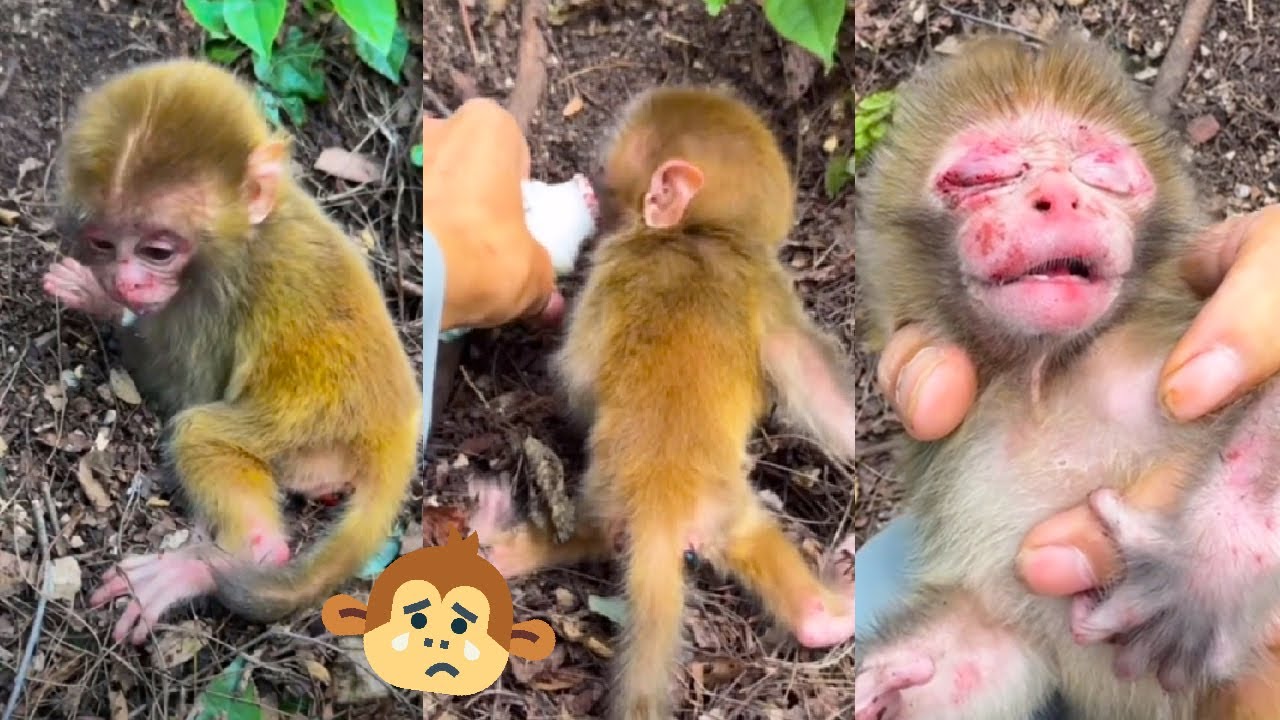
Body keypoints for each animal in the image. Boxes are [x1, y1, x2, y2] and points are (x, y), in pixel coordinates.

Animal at [40, 59, 422, 646]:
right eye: (105, 243)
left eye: (157, 251)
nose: (127, 282)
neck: (251, 232)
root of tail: (395, 426)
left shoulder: (210, 300)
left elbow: (182, 389)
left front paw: (102, 302)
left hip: (305, 426)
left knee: (199, 431)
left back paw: (225, 560)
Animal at [465, 86, 858, 720]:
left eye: (609, 173)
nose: (591, 185)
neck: (697, 232)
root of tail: (661, 503)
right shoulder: (768, 286)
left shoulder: (617, 266)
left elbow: (574, 375)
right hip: (693, 511)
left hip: (651, 507)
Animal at [852, 31, 1280, 719]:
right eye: (984, 174)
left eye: (1100, 169)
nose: (1059, 197)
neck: (1046, 376)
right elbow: (987, 644)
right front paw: (887, 687)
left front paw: (1209, 567)